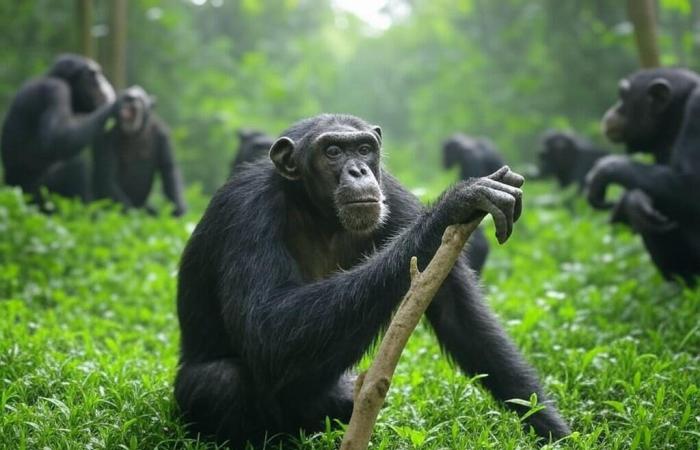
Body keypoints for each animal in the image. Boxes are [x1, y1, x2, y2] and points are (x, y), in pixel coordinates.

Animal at [0, 53, 117, 205]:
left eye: (98, 74)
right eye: (93, 74)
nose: (102, 81)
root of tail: (11, 186)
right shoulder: (56, 90)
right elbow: (56, 138)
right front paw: (114, 106)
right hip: (35, 193)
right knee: (75, 166)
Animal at [93, 86, 186, 218]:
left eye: (140, 96)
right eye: (126, 94)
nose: (131, 97)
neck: (135, 133)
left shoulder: (162, 133)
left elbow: (168, 169)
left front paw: (178, 211)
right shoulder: (105, 137)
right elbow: (108, 177)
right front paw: (134, 216)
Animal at [584, 68, 700, 284]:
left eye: (623, 96)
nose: (614, 109)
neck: (677, 115)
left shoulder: (697, 108)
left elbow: (691, 186)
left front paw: (605, 170)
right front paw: (633, 200)